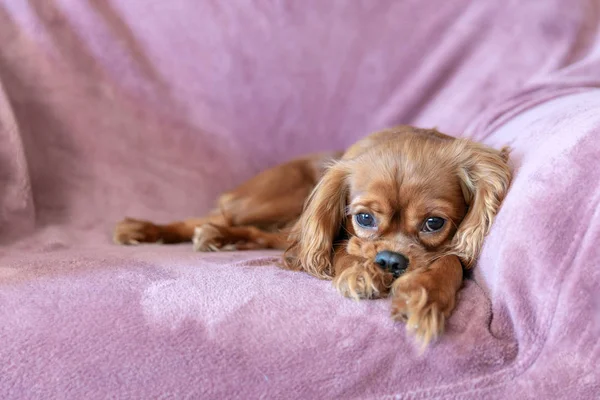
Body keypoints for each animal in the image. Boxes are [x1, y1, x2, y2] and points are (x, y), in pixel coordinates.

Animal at [113, 126, 510, 346]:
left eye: (434, 224)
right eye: (364, 218)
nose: (390, 261)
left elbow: (450, 261)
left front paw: (423, 293)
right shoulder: (337, 237)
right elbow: (342, 251)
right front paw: (361, 273)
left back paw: (221, 237)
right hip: (274, 199)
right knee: (217, 216)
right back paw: (147, 229)